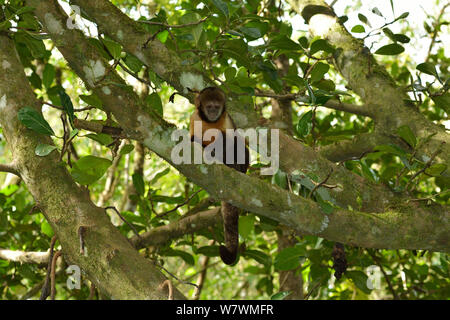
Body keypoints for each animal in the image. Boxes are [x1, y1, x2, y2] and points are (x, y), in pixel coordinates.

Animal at [188, 87, 248, 264]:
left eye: (217, 107)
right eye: (209, 107)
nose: (213, 112)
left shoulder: (226, 117)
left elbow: (233, 140)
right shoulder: (194, 118)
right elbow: (191, 138)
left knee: (231, 140)